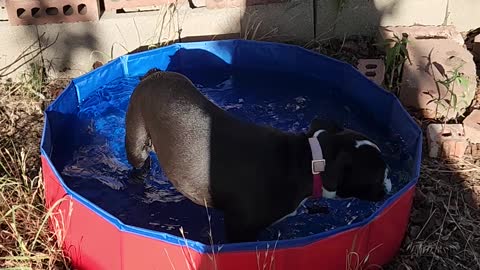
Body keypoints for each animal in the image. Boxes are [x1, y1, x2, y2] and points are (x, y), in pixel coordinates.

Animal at [124, 69, 390, 243]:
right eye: (379, 175)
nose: (390, 183)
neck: (307, 161)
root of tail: (155, 74)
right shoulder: (238, 226)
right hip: (137, 142)